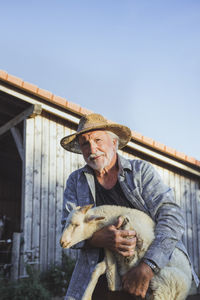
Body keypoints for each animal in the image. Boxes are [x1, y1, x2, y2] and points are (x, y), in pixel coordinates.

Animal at [60, 204, 192, 300]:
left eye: (76, 225)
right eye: (65, 222)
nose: (62, 242)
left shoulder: (144, 241)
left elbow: (137, 252)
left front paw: (125, 223)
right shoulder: (113, 258)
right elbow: (98, 270)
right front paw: (86, 296)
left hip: (166, 285)